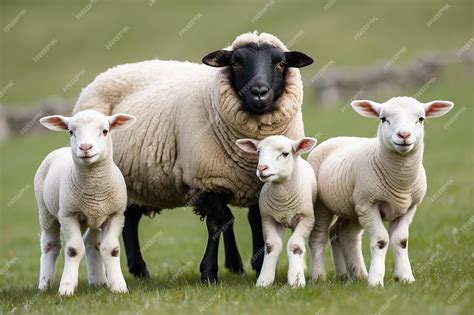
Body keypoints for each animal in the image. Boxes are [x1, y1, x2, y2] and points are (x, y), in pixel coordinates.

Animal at [34, 109, 135, 296]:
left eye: (105, 131)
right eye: (71, 131)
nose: (85, 147)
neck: (94, 188)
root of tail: (62, 149)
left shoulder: (115, 215)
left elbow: (111, 249)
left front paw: (118, 286)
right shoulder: (68, 215)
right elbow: (73, 250)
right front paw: (66, 288)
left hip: (92, 218)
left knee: (91, 242)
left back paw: (99, 281)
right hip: (46, 212)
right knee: (50, 244)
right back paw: (45, 284)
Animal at [236, 135, 316, 288]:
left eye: (285, 154)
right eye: (258, 152)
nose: (261, 168)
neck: (283, 201)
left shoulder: (306, 219)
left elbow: (295, 245)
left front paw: (296, 280)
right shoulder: (268, 219)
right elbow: (272, 246)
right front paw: (264, 280)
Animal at [310, 97, 454, 288]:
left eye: (421, 119)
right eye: (383, 118)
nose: (404, 135)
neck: (401, 182)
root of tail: (337, 138)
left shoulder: (409, 208)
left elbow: (401, 240)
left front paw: (405, 277)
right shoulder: (369, 205)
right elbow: (381, 240)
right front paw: (376, 281)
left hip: (352, 208)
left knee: (344, 234)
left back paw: (353, 274)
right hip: (323, 204)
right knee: (318, 237)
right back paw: (319, 277)